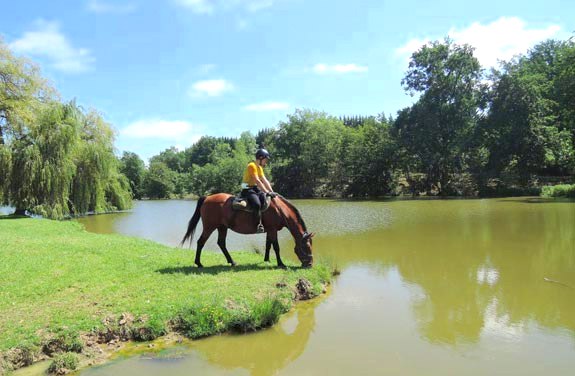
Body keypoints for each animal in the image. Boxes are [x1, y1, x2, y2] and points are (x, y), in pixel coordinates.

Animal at [180, 192, 316, 268]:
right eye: (307, 247)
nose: (310, 264)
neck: (280, 209)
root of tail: (207, 198)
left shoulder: (270, 230)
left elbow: (268, 245)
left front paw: (267, 259)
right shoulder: (273, 230)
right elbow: (276, 247)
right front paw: (281, 264)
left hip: (222, 227)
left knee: (221, 243)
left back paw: (232, 261)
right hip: (209, 227)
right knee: (201, 242)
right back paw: (199, 263)